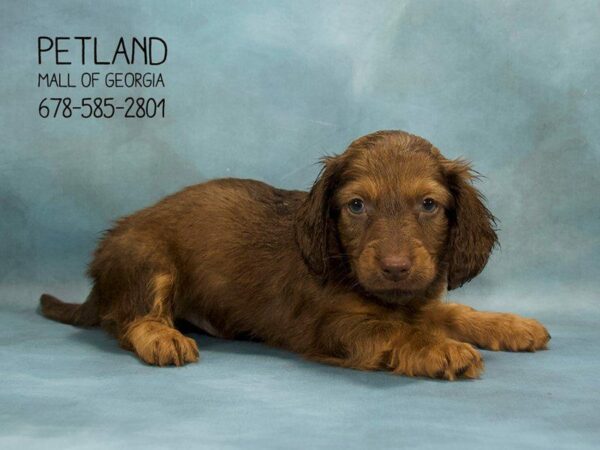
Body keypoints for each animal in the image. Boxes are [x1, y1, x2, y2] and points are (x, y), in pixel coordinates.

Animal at [39, 130, 552, 380]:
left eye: (429, 205)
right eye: (356, 206)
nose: (395, 268)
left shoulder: (418, 301)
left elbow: (456, 312)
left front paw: (511, 325)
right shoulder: (331, 325)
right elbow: (393, 331)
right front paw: (440, 349)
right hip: (148, 257)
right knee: (130, 319)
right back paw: (162, 336)